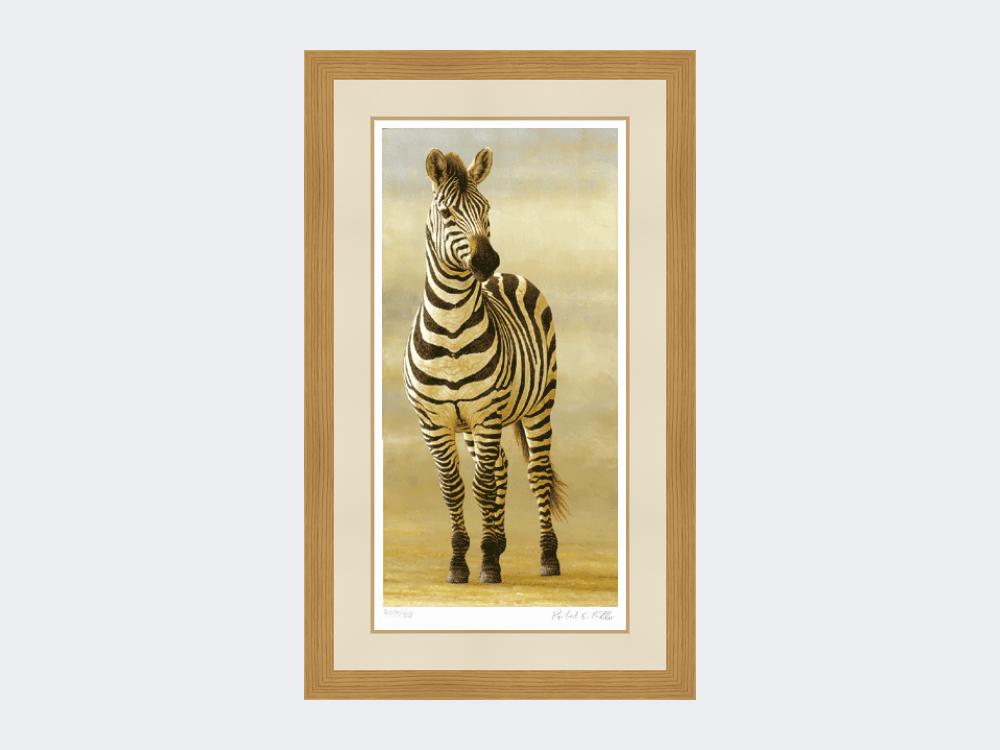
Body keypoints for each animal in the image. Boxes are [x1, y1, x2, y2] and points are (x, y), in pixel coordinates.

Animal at [403, 147, 567, 585]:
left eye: (487, 208)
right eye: (447, 213)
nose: (487, 260)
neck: (452, 329)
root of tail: (507, 277)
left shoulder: (487, 413)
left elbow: (482, 486)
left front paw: (488, 562)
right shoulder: (434, 422)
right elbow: (454, 488)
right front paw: (461, 560)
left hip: (539, 404)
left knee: (536, 473)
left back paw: (548, 556)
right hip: (472, 425)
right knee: (503, 468)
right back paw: (499, 540)